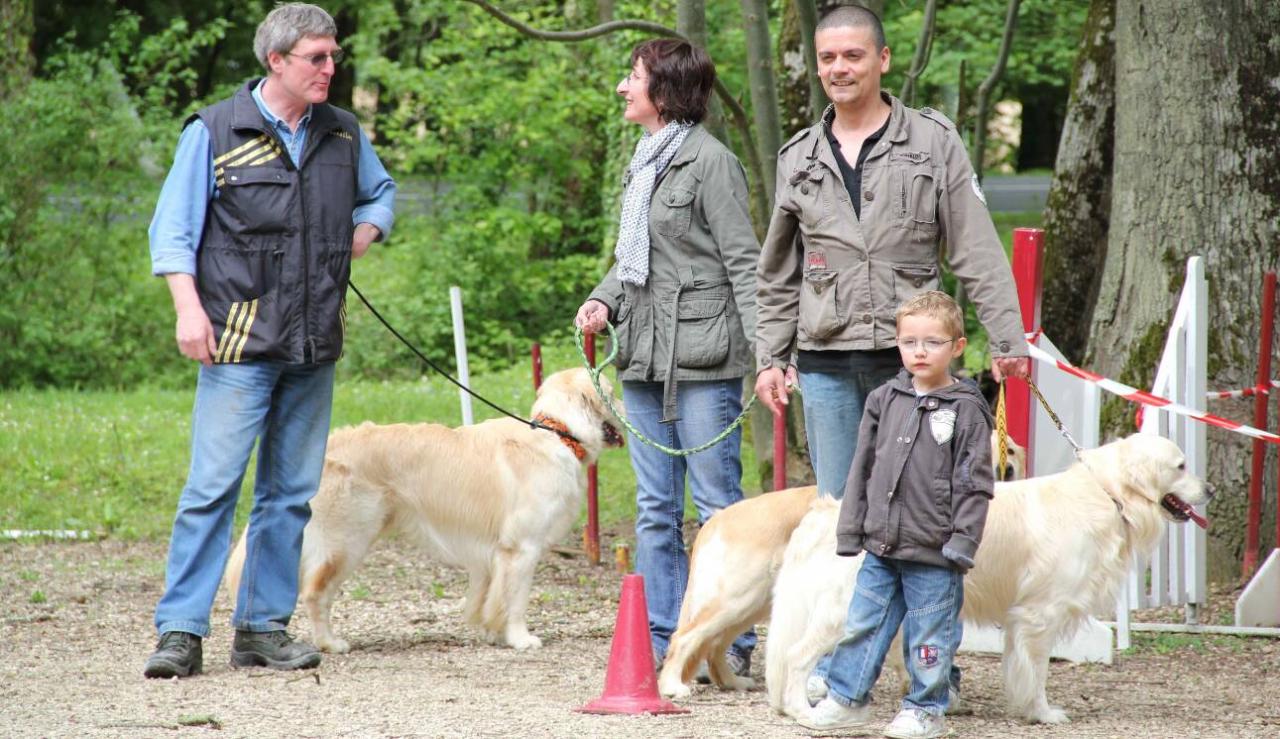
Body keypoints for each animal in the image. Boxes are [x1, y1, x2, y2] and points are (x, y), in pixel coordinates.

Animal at [230, 368, 629, 650]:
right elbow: (515, 599)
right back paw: (329, 643)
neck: (558, 433)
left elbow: (490, 598)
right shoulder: (522, 548)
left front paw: (494, 633)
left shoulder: (494, 553)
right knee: (315, 592)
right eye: (613, 394)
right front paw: (520, 638)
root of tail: (326, 451)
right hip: (347, 541)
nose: (629, 413)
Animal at [660, 432, 1029, 696]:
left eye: (1009, 451)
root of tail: (717, 518)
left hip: (754, 604)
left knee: (714, 645)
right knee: (685, 638)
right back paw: (672, 687)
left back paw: (732, 682)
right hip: (738, 597)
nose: (1000, 469)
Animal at [768, 432, 1208, 722]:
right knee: (797, 655)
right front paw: (1042, 712)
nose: (1212, 490)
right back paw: (801, 709)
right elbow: (1037, 671)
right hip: (845, 608)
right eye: (1181, 465)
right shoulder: (1039, 613)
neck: (1107, 494)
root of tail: (827, 511)